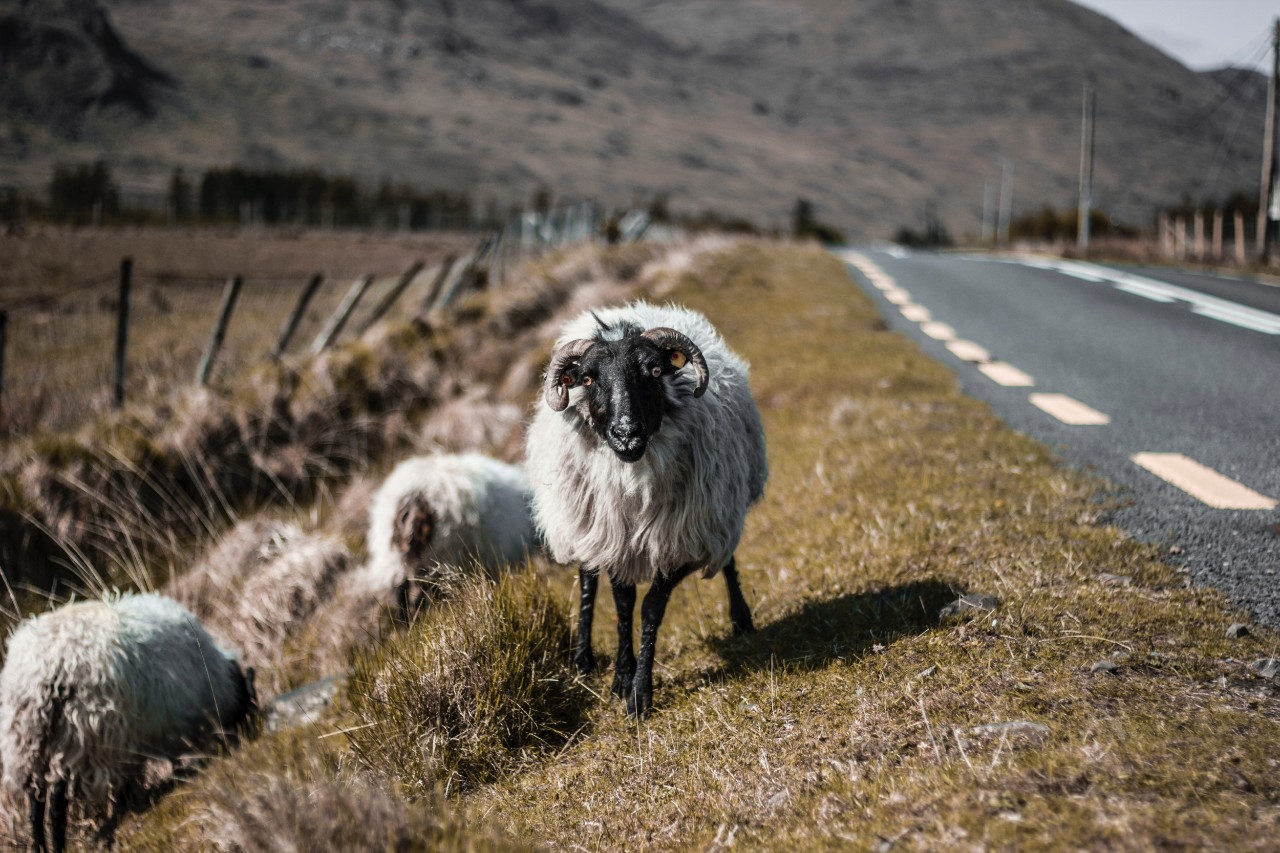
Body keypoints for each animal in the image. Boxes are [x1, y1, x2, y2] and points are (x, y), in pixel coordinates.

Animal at [0, 593, 256, 852]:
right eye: (249, 701)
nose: (249, 736)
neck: (215, 682)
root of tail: (45, 670)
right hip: (78, 734)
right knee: (56, 801)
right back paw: (60, 843)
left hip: (27, 740)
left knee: (35, 801)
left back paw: (39, 845)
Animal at [525, 300, 767, 716]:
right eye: (587, 380)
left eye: (654, 372)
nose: (626, 434)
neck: (634, 480)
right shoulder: (614, 537)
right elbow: (622, 605)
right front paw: (622, 677)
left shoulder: (685, 538)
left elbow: (651, 608)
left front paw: (639, 693)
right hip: (583, 520)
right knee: (587, 579)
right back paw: (582, 659)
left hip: (720, 508)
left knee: (728, 558)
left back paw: (741, 619)